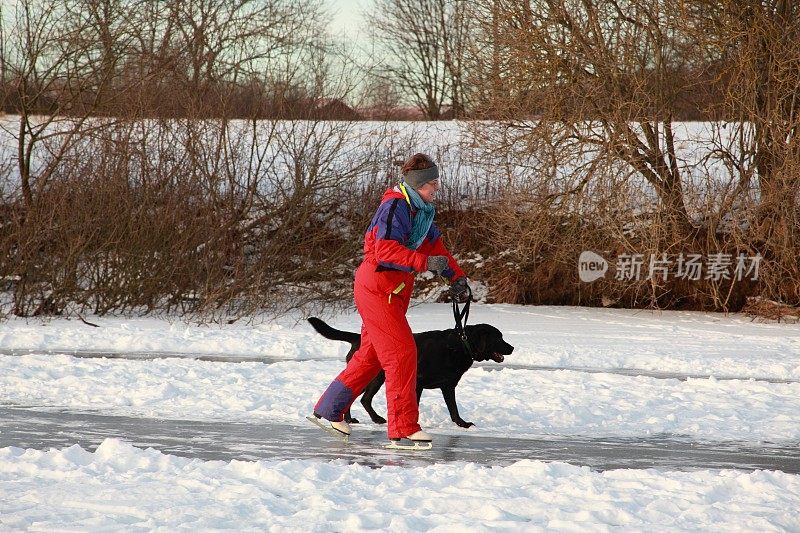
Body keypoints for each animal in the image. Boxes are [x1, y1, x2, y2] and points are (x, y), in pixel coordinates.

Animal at [306, 316, 512, 428]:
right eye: (499, 338)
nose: (512, 348)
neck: (460, 345)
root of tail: (358, 338)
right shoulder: (417, 383)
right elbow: (417, 406)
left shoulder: (448, 386)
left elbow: (453, 408)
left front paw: (462, 423)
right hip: (373, 376)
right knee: (357, 396)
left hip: (376, 378)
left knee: (363, 398)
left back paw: (366, 419)